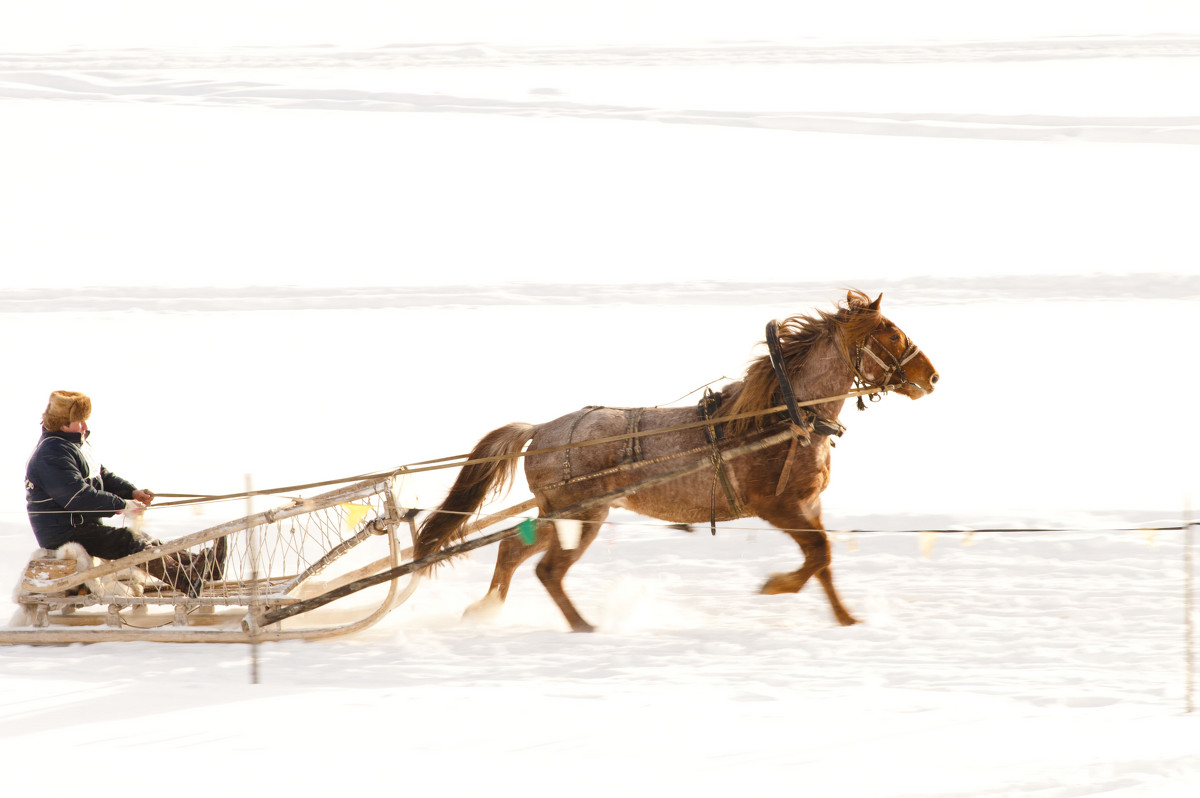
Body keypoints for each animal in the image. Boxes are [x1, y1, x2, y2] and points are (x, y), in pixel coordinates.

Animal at [417, 289, 940, 633]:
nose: (932, 376)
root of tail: (540, 430)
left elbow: (825, 559)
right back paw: (582, 626)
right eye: (892, 333)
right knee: (547, 570)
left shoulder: (808, 504)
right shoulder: (777, 506)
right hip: (582, 514)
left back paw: (487, 611)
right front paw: (776, 587)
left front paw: (846, 618)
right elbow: (818, 553)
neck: (784, 415)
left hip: (563, 513)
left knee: (512, 550)